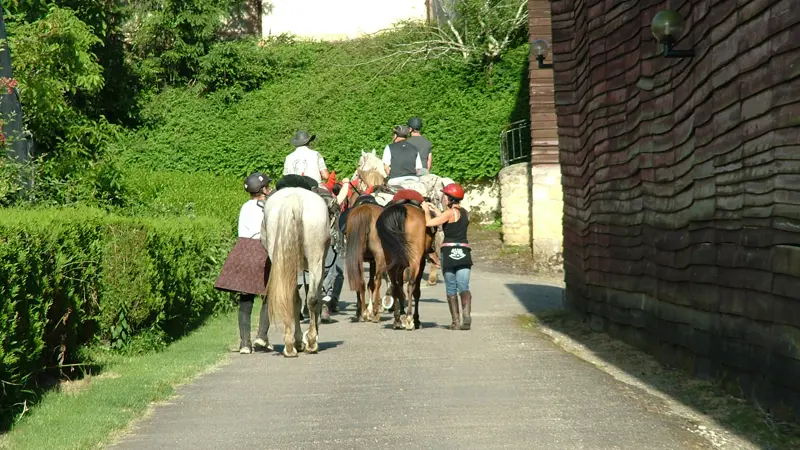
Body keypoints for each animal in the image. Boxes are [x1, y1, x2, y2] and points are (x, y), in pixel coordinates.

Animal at [260, 186, 328, 356]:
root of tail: (294, 198)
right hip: (316, 258)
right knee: (312, 298)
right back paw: (310, 342)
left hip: (281, 258)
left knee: (288, 297)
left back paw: (290, 345)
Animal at [374, 200, 434, 330]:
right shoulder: (421, 262)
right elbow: (415, 290)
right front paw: (415, 319)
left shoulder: (400, 266)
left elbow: (399, 286)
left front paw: (401, 314)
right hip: (415, 261)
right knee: (411, 285)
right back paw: (410, 318)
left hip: (391, 261)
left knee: (395, 286)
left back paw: (397, 319)